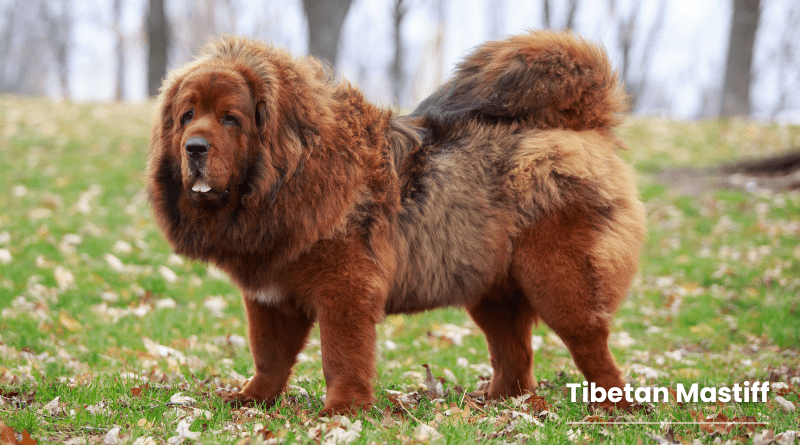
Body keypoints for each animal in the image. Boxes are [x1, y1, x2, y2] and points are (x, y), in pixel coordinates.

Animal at [148, 30, 644, 412]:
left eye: (230, 119)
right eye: (187, 116)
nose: (194, 147)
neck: (289, 177)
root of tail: (583, 127)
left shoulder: (344, 288)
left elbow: (342, 355)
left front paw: (342, 410)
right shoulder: (270, 296)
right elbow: (269, 357)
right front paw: (251, 400)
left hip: (559, 280)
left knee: (590, 346)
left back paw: (616, 408)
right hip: (491, 290)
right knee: (515, 357)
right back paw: (499, 403)